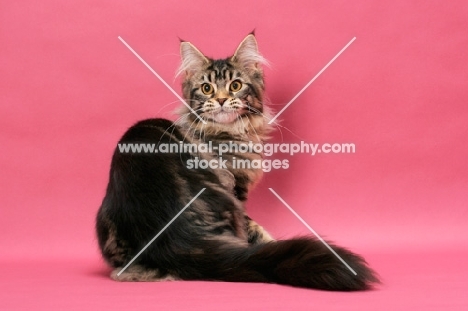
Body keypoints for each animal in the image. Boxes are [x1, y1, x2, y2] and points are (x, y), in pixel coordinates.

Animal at [97, 34, 378, 292]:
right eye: (207, 89)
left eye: (235, 85)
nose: (221, 100)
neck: (230, 133)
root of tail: (174, 238)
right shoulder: (237, 191)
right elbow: (260, 233)